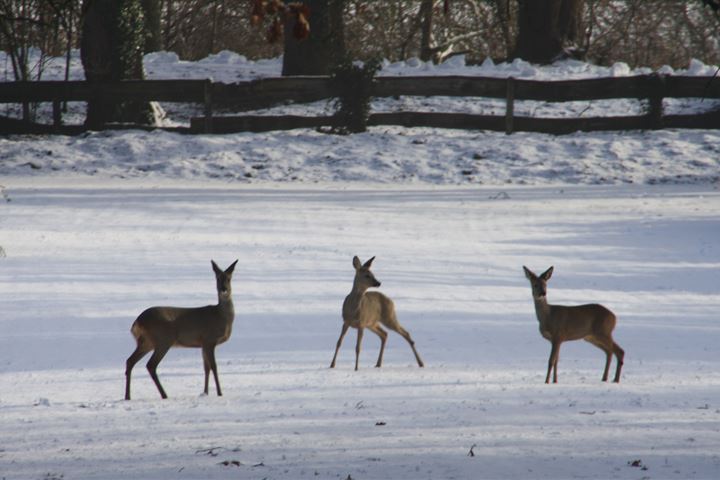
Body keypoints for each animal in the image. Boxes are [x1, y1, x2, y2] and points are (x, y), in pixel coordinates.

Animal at [123, 260, 236, 400]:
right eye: (218, 278)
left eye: (229, 278)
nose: (223, 289)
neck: (221, 316)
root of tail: (137, 322)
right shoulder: (209, 339)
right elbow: (214, 366)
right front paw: (220, 393)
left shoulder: (203, 343)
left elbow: (206, 368)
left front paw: (205, 393)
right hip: (163, 339)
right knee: (151, 365)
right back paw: (164, 394)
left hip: (146, 342)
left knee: (130, 361)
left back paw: (128, 396)